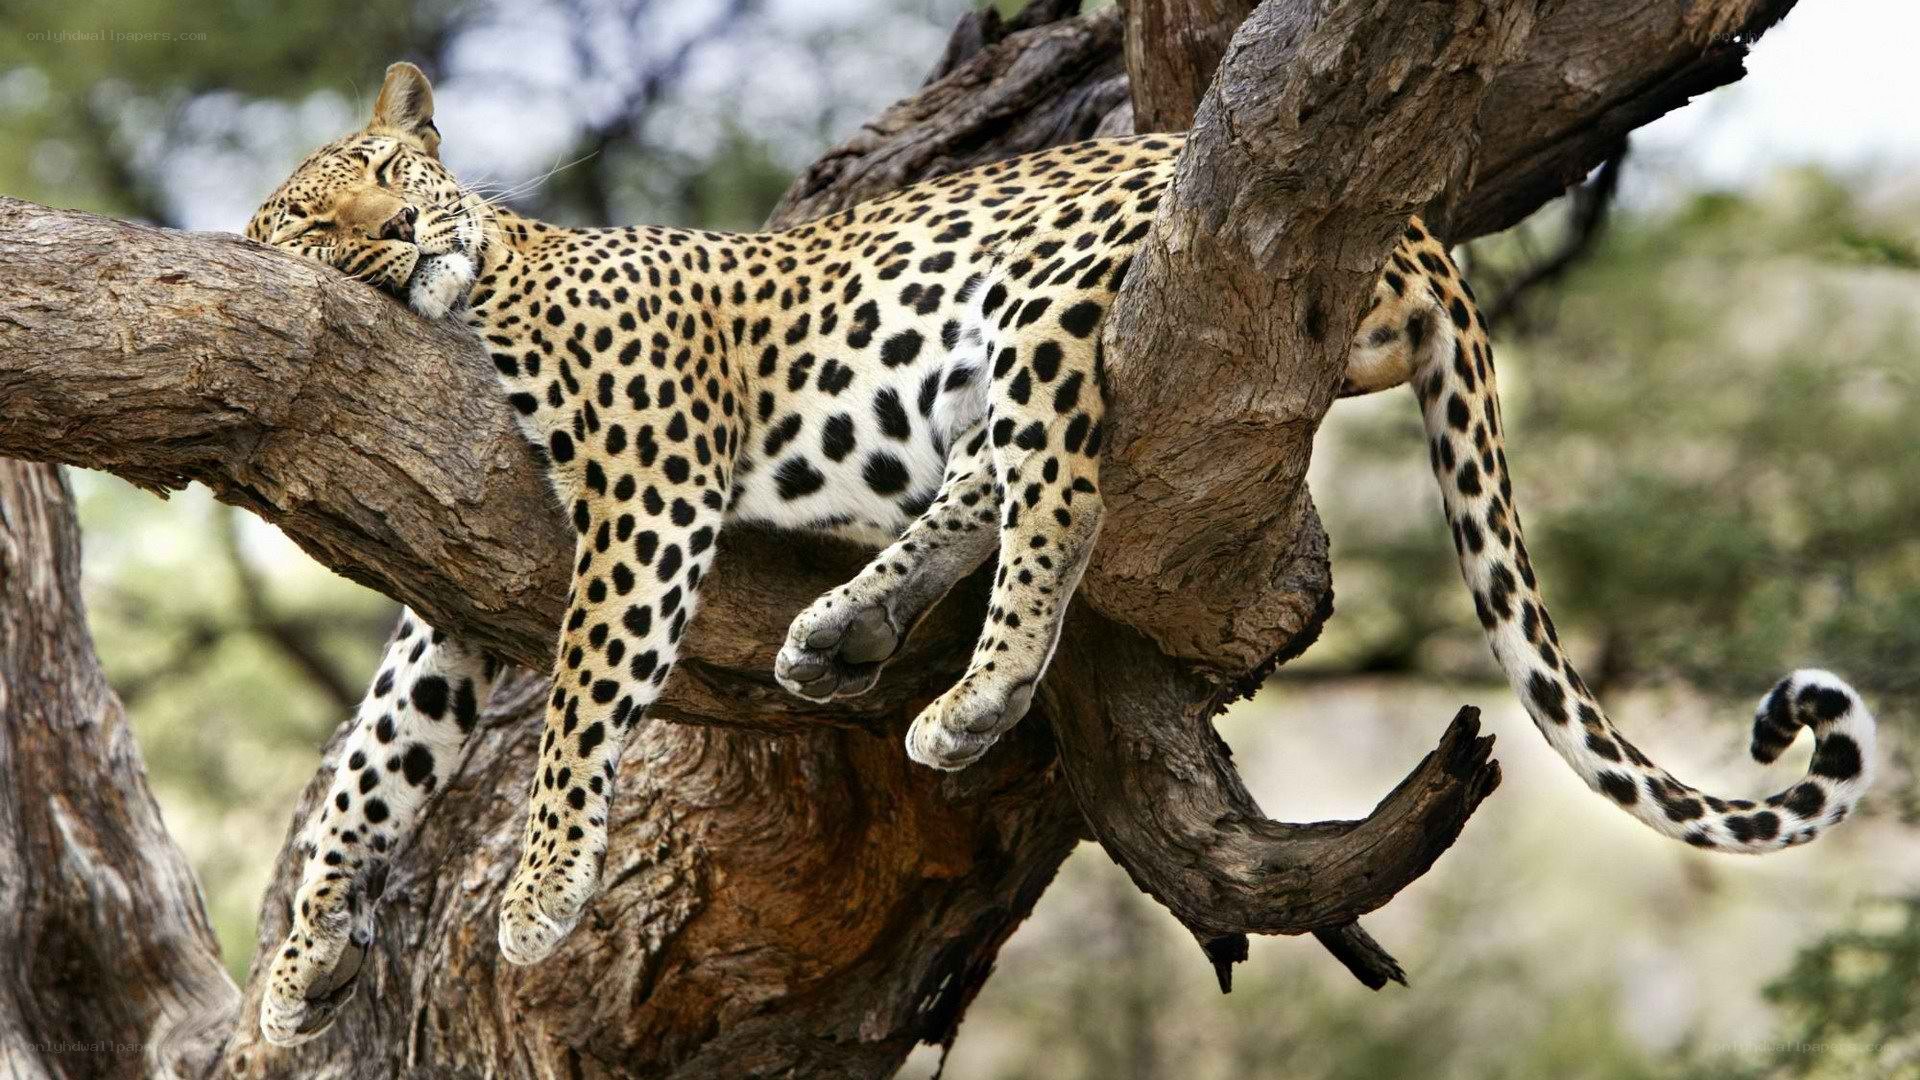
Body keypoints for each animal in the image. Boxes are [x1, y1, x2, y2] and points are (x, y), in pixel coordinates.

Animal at [244, 62, 1876, 1045]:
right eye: (310, 223)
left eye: (390, 171)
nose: (396, 235)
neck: (484, 288)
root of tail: (1418, 225)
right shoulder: (454, 590)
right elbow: (376, 762)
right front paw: (296, 966)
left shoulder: (648, 490)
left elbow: (582, 705)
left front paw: (535, 895)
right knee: (995, 478)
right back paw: (845, 630)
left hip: (1041, 301)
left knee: (1065, 494)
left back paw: (970, 696)